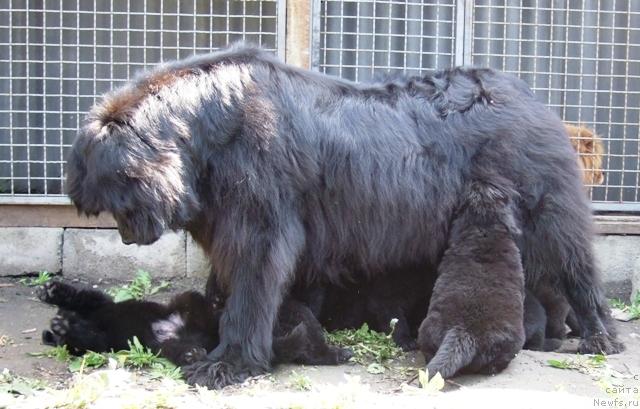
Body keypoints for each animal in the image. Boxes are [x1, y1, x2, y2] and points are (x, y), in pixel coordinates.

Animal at [67, 43, 624, 388]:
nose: (126, 237)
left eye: (117, 200)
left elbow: (253, 282)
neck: (205, 133)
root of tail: (532, 97)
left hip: (545, 212)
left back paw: (599, 337)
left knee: (577, 271)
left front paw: (226, 363)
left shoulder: (261, 213)